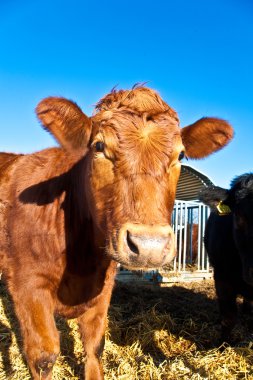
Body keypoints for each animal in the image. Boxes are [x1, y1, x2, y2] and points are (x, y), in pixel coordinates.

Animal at [0, 87, 233, 378]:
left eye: (180, 155)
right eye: (99, 146)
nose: (149, 246)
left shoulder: (103, 286)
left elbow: (94, 346)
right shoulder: (28, 285)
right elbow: (44, 356)